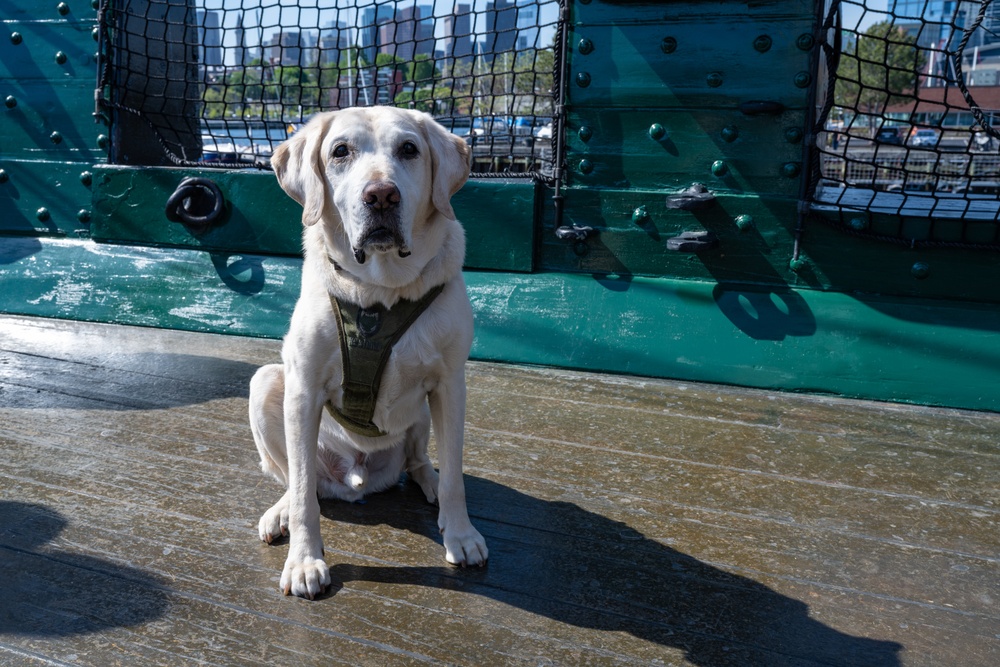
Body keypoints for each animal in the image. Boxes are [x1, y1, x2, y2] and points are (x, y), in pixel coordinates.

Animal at [248, 108, 486, 600]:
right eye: (340, 151)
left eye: (409, 149)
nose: (380, 195)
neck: (381, 289)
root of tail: (356, 478)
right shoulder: (302, 389)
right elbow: (304, 491)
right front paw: (304, 561)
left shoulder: (450, 384)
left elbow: (456, 475)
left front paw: (460, 534)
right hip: (266, 383)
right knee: (299, 482)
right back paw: (281, 510)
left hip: (422, 415)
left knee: (418, 460)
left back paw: (428, 482)